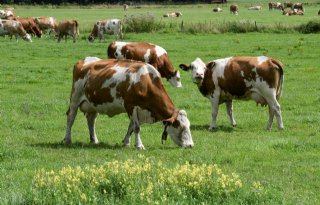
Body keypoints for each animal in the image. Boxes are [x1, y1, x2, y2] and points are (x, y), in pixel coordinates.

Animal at [62, 56, 192, 150]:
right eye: (180, 127)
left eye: (189, 126)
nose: (191, 145)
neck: (145, 82)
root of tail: (85, 60)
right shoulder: (131, 106)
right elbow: (136, 127)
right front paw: (139, 145)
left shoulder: (139, 110)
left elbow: (131, 127)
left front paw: (126, 142)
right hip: (75, 98)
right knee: (70, 118)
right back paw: (67, 139)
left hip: (93, 104)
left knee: (91, 120)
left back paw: (94, 140)